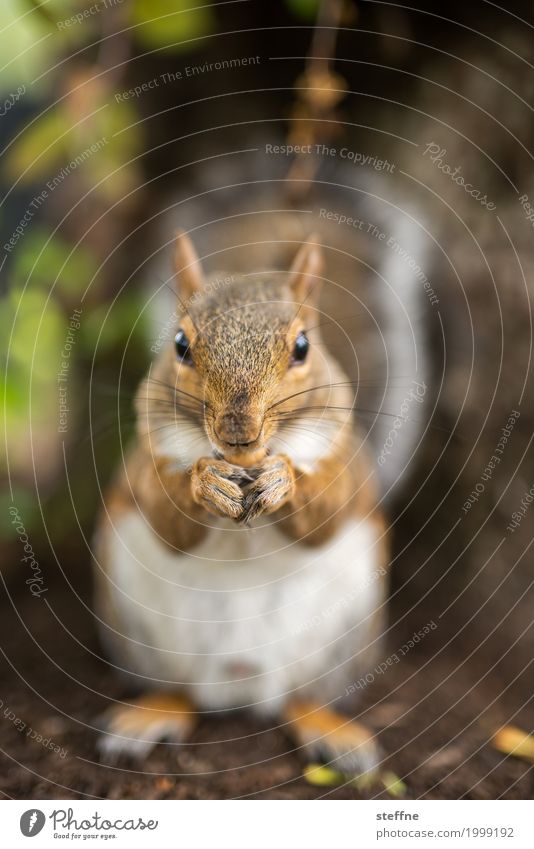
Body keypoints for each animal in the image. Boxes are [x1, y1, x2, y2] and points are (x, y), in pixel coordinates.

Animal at [93, 229, 402, 772]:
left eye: (302, 346)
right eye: (180, 345)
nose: (239, 429)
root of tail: (240, 684)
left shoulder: (345, 459)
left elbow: (326, 514)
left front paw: (283, 480)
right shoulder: (146, 460)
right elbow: (165, 520)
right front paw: (206, 482)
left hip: (343, 638)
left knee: (300, 697)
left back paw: (331, 730)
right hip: (138, 628)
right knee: (183, 692)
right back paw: (149, 715)